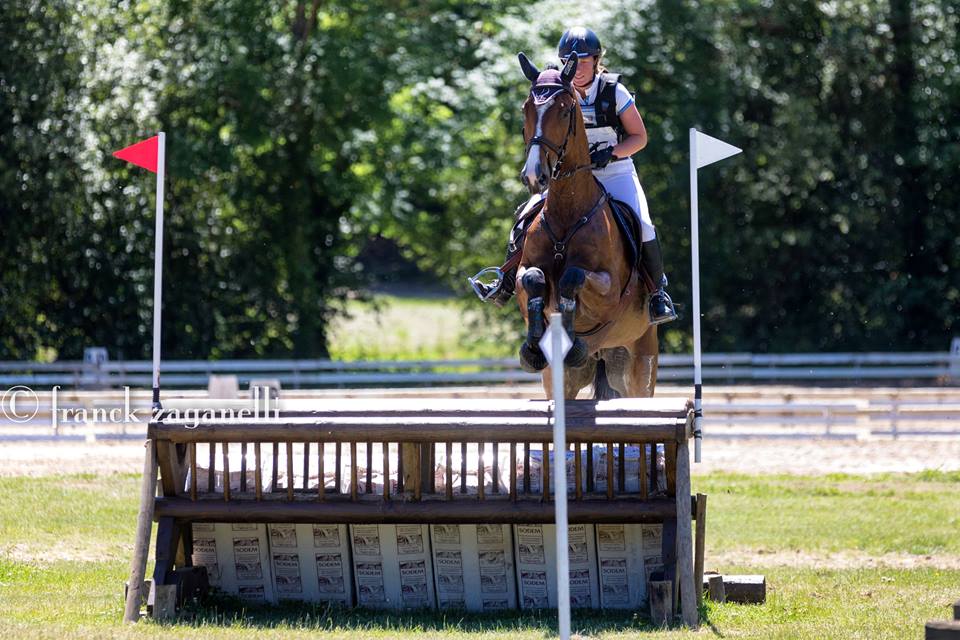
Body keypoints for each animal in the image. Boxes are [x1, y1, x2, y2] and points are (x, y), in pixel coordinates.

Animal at [512, 52, 656, 400]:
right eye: (526, 108)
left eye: (565, 111)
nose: (534, 176)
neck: (568, 212)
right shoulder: (524, 272)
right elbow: (533, 278)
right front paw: (533, 347)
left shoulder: (608, 290)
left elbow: (573, 277)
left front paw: (569, 332)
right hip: (565, 380)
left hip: (639, 367)